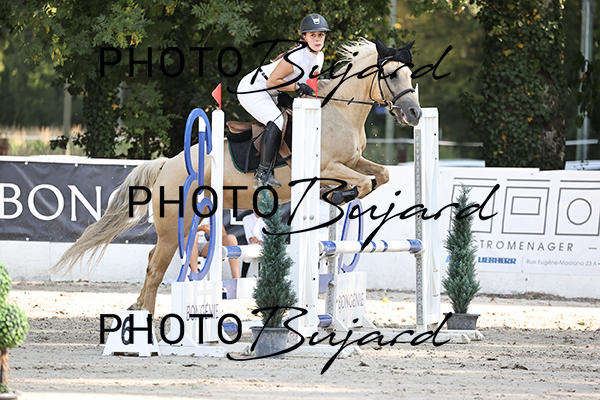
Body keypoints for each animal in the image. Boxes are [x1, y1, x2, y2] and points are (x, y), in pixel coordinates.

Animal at [52, 38, 423, 314]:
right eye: (392, 75)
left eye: (410, 75)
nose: (415, 113)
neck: (340, 112)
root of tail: (166, 165)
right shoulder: (326, 167)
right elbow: (362, 183)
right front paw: (338, 194)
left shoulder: (353, 160)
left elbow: (381, 175)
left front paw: (336, 195)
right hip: (176, 224)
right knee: (157, 265)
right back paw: (145, 316)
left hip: (181, 223)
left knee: (151, 260)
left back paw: (137, 307)